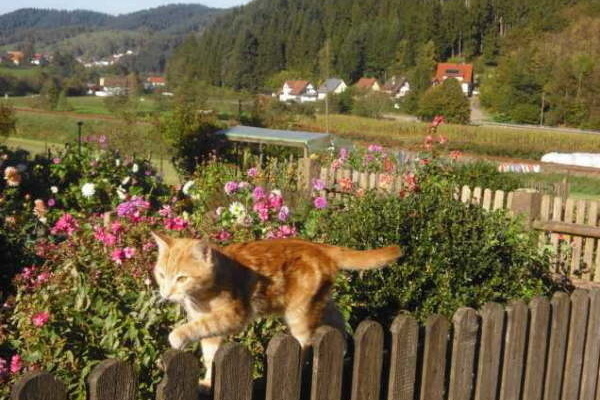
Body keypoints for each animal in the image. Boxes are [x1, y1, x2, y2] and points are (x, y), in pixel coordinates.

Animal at [151, 232, 402, 386]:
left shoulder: (233, 315)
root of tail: (320, 247)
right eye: (161, 275)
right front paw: (208, 380)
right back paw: (341, 349)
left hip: (299, 313)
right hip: (320, 302)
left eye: (182, 278)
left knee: (305, 341)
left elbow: (199, 328)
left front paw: (177, 336)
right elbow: (209, 354)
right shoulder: (210, 330)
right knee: (337, 323)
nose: (166, 293)